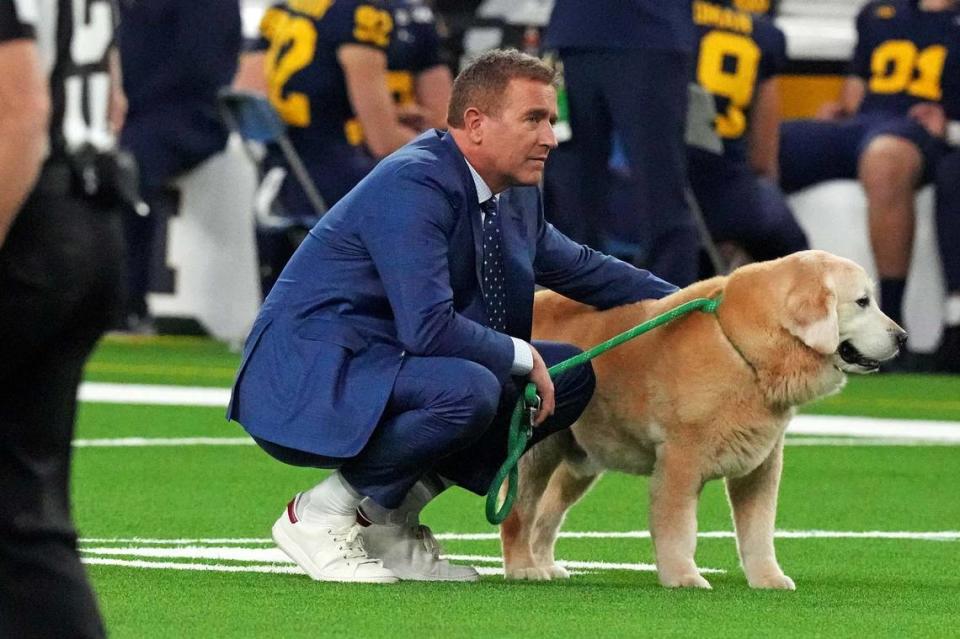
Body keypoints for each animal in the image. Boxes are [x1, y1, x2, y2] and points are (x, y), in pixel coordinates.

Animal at [502, 250, 908, 592]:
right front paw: (682, 576)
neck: (741, 347)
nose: (902, 337)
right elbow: (680, 528)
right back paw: (523, 567)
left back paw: (544, 563)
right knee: (521, 513)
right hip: (533, 453)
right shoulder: (680, 461)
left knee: (547, 515)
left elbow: (759, 531)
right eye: (862, 302)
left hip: (579, 461)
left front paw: (767, 578)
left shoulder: (761, 466)